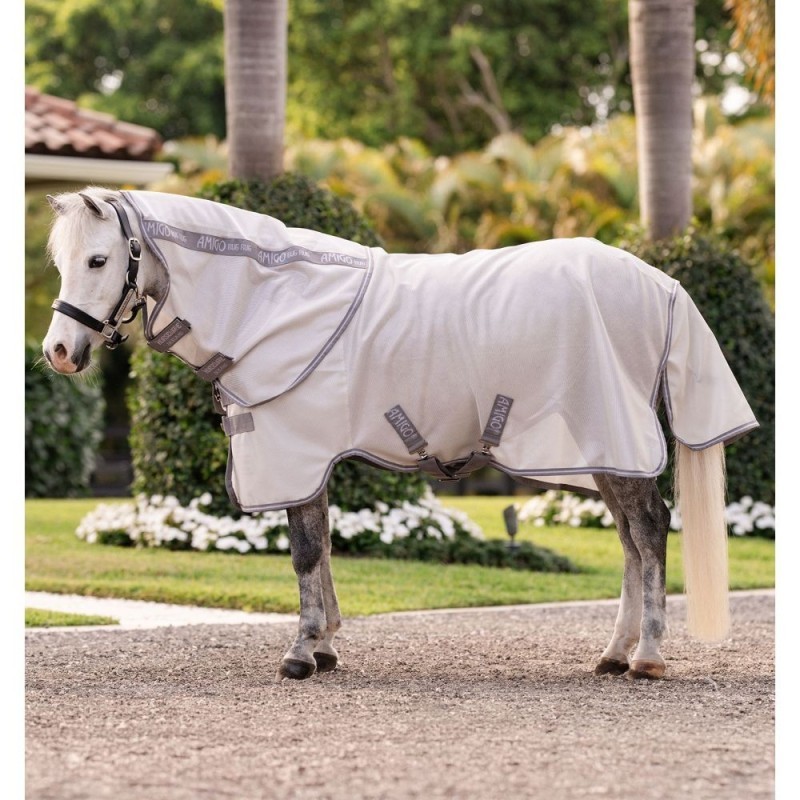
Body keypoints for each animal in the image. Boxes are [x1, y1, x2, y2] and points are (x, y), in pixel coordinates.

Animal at [41, 187, 758, 682]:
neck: (270, 300)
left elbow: (305, 552)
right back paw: (613, 653)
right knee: (633, 542)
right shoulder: (312, 458)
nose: (60, 352)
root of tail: (659, 283)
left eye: (99, 259)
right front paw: (326, 644)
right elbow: (323, 546)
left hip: (614, 441)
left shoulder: (296, 452)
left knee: (650, 532)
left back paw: (648, 657)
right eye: (59, 260)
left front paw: (301, 652)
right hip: (604, 454)